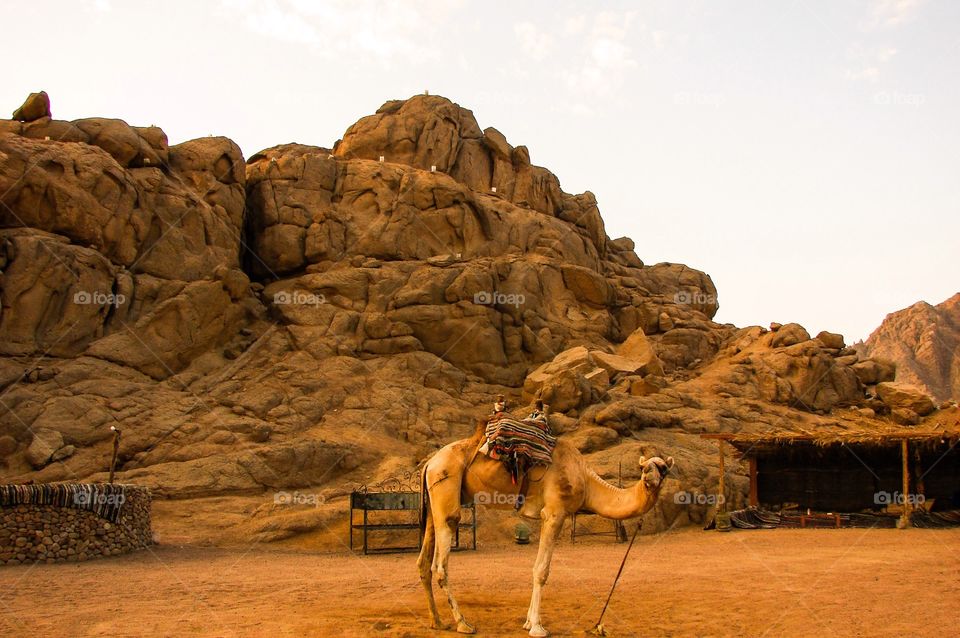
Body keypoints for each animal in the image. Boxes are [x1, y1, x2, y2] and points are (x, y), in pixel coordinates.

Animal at [416, 420, 672, 638]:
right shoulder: (554, 513)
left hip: (434, 504)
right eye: (644, 468)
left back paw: (437, 621)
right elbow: (542, 571)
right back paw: (463, 623)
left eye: (663, 469)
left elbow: (535, 568)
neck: (586, 480)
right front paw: (537, 627)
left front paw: (528, 622)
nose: (649, 479)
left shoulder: (547, 515)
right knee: (441, 564)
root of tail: (429, 463)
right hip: (446, 491)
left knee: (423, 563)